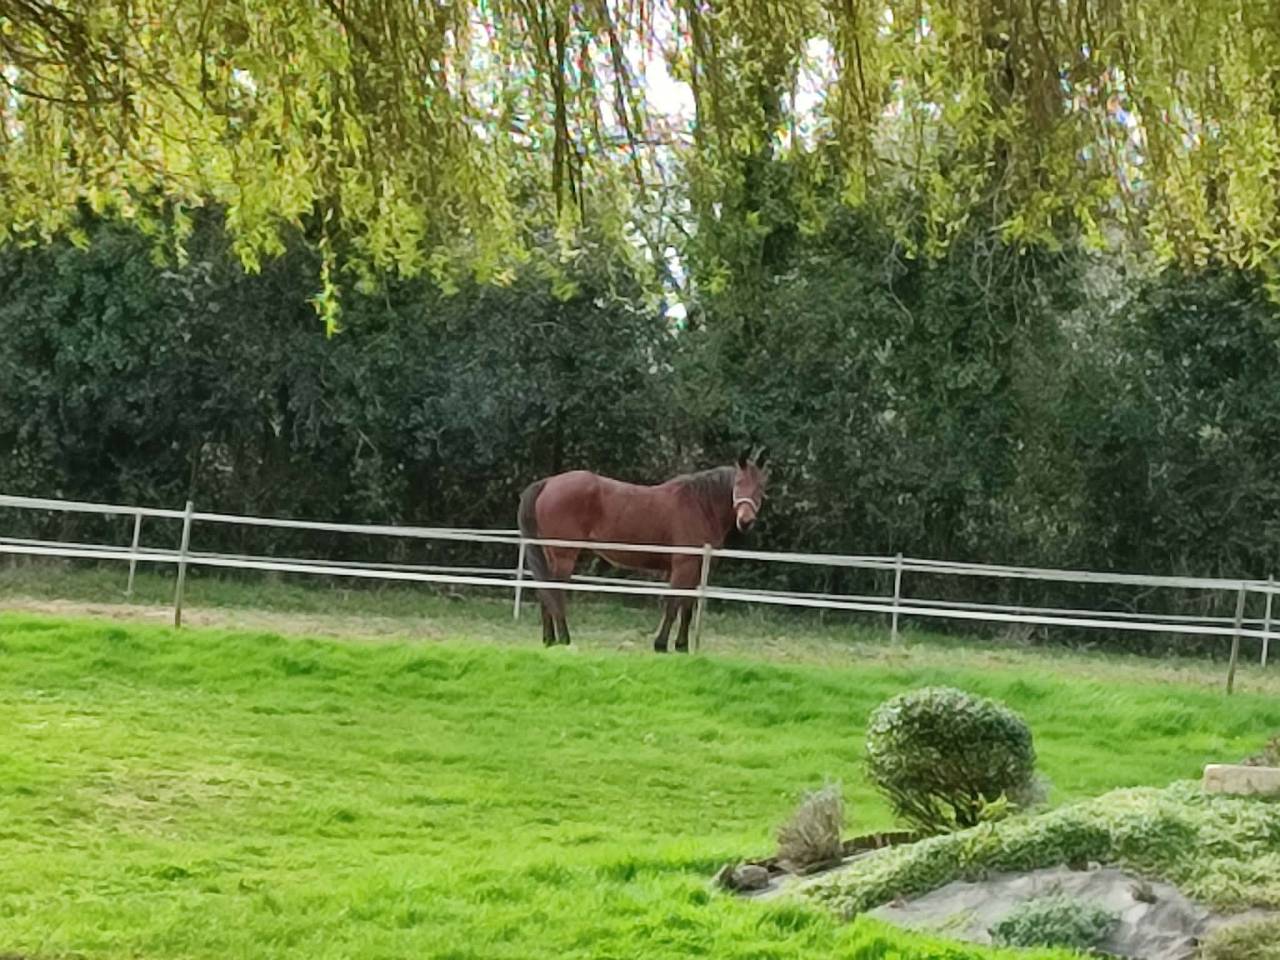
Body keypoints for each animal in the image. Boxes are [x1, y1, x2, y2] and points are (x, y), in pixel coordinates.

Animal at [516, 447, 769, 652]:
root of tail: (548, 482)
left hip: (551, 554)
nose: (746, 521)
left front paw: (682, 647)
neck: (699, 505)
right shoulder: (683, 565)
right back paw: (564, 640)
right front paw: (661, 644)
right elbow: (673, 605)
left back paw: (549, 640)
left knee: (546, 593)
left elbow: (687, 607)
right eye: (738, 483)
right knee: (555, 592)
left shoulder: (696, 568)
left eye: (761, 486)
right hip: (564, 555)